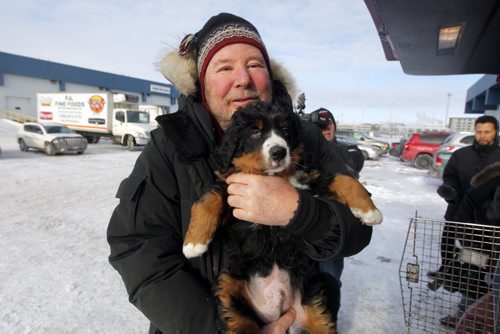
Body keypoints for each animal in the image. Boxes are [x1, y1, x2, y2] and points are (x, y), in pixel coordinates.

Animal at [184, 102, 382, 334]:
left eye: (286, 131)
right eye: (255, 132)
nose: (279, 151)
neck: (273, 176)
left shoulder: (310, 179)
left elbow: (344, 179)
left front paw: (370, 212)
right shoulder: (231, 191)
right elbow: (206, 200)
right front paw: (192, 244)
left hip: (316, 298)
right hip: (229, 287)